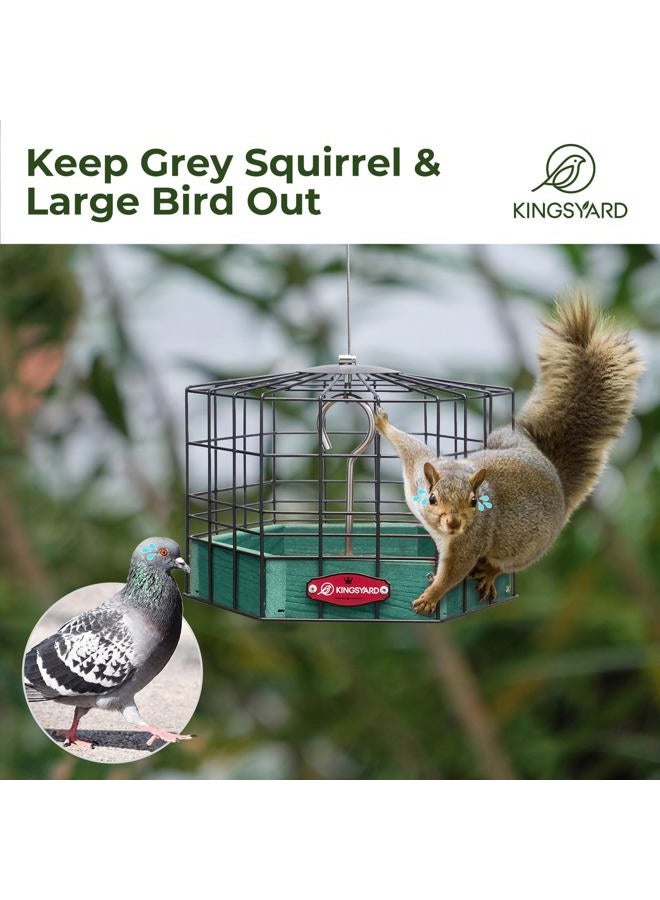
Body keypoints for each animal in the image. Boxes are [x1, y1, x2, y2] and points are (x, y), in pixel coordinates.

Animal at [375, 293, 644, 616]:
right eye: (432, 498)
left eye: (474, 502)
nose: (453, 523)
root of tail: (557, 481)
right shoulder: (418, 469)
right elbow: (410, 446)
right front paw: (381, 422)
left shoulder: (469, 543)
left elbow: (454, 572)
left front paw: (430, 597)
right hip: (503, 438)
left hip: (525, 549)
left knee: (505, 563)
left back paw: (490, 573)